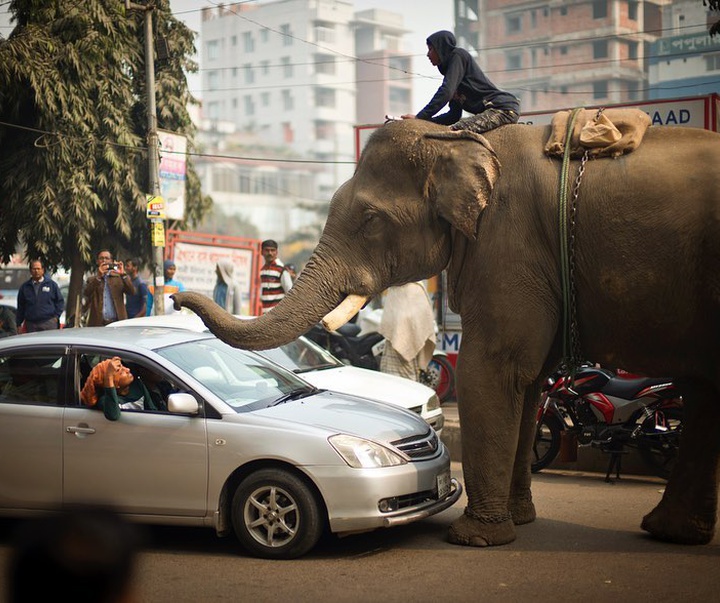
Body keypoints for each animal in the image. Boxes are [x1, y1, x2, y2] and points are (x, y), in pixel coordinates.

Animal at [174, 117, 720, 548]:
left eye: (369, 219)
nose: (178, 298)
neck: (460, 141)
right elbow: (528, 381)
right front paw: (517, 521)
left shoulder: (509, 242)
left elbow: (493, 370)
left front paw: (474, 539)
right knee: (704, 392)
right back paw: (669, 531)